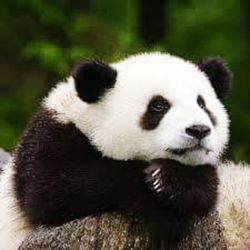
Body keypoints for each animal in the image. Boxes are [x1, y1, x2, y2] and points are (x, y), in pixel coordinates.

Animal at [0, 51, 246, 249]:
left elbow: (206, 189)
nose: (198, 130)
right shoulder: (48, 140)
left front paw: (176, 183)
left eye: (202, 104)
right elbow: (55, 189)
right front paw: (163, 208)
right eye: (159, 105)